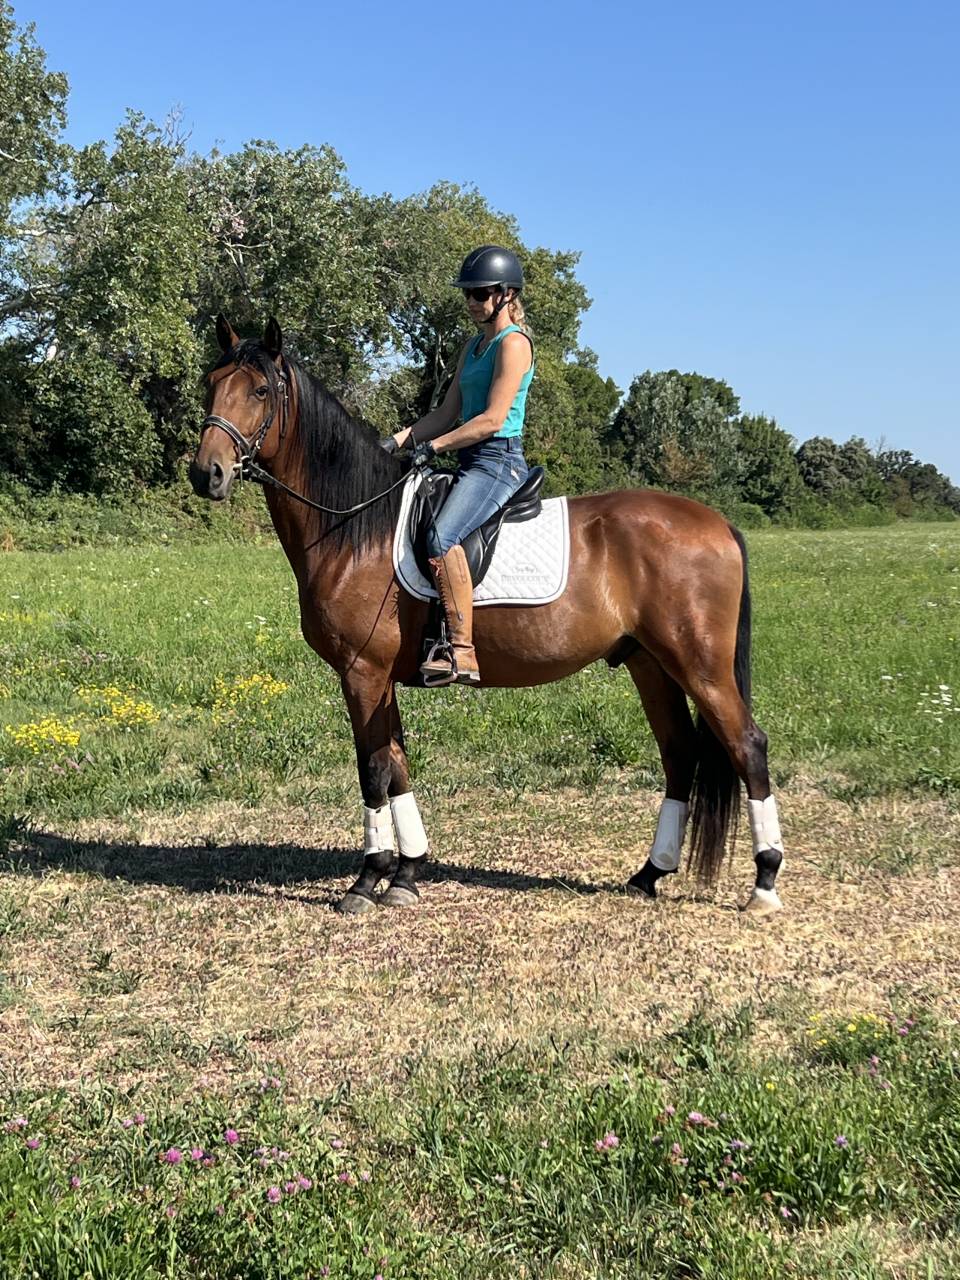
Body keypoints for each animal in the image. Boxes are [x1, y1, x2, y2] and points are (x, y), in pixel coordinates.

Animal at [189, 316, 786, 918]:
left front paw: (367, 879)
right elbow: (398, 764)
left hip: (700, 666)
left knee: (747, 747)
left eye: (259, 391)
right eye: (211, 383)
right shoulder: (381, 679)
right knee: (680, 754)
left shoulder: (362, 673)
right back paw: (649, 874)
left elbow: (373, 771)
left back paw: (764, 882)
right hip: (650, 664)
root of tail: (717, 523)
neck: (356, 527)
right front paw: (407, 873)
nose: (205, 474)